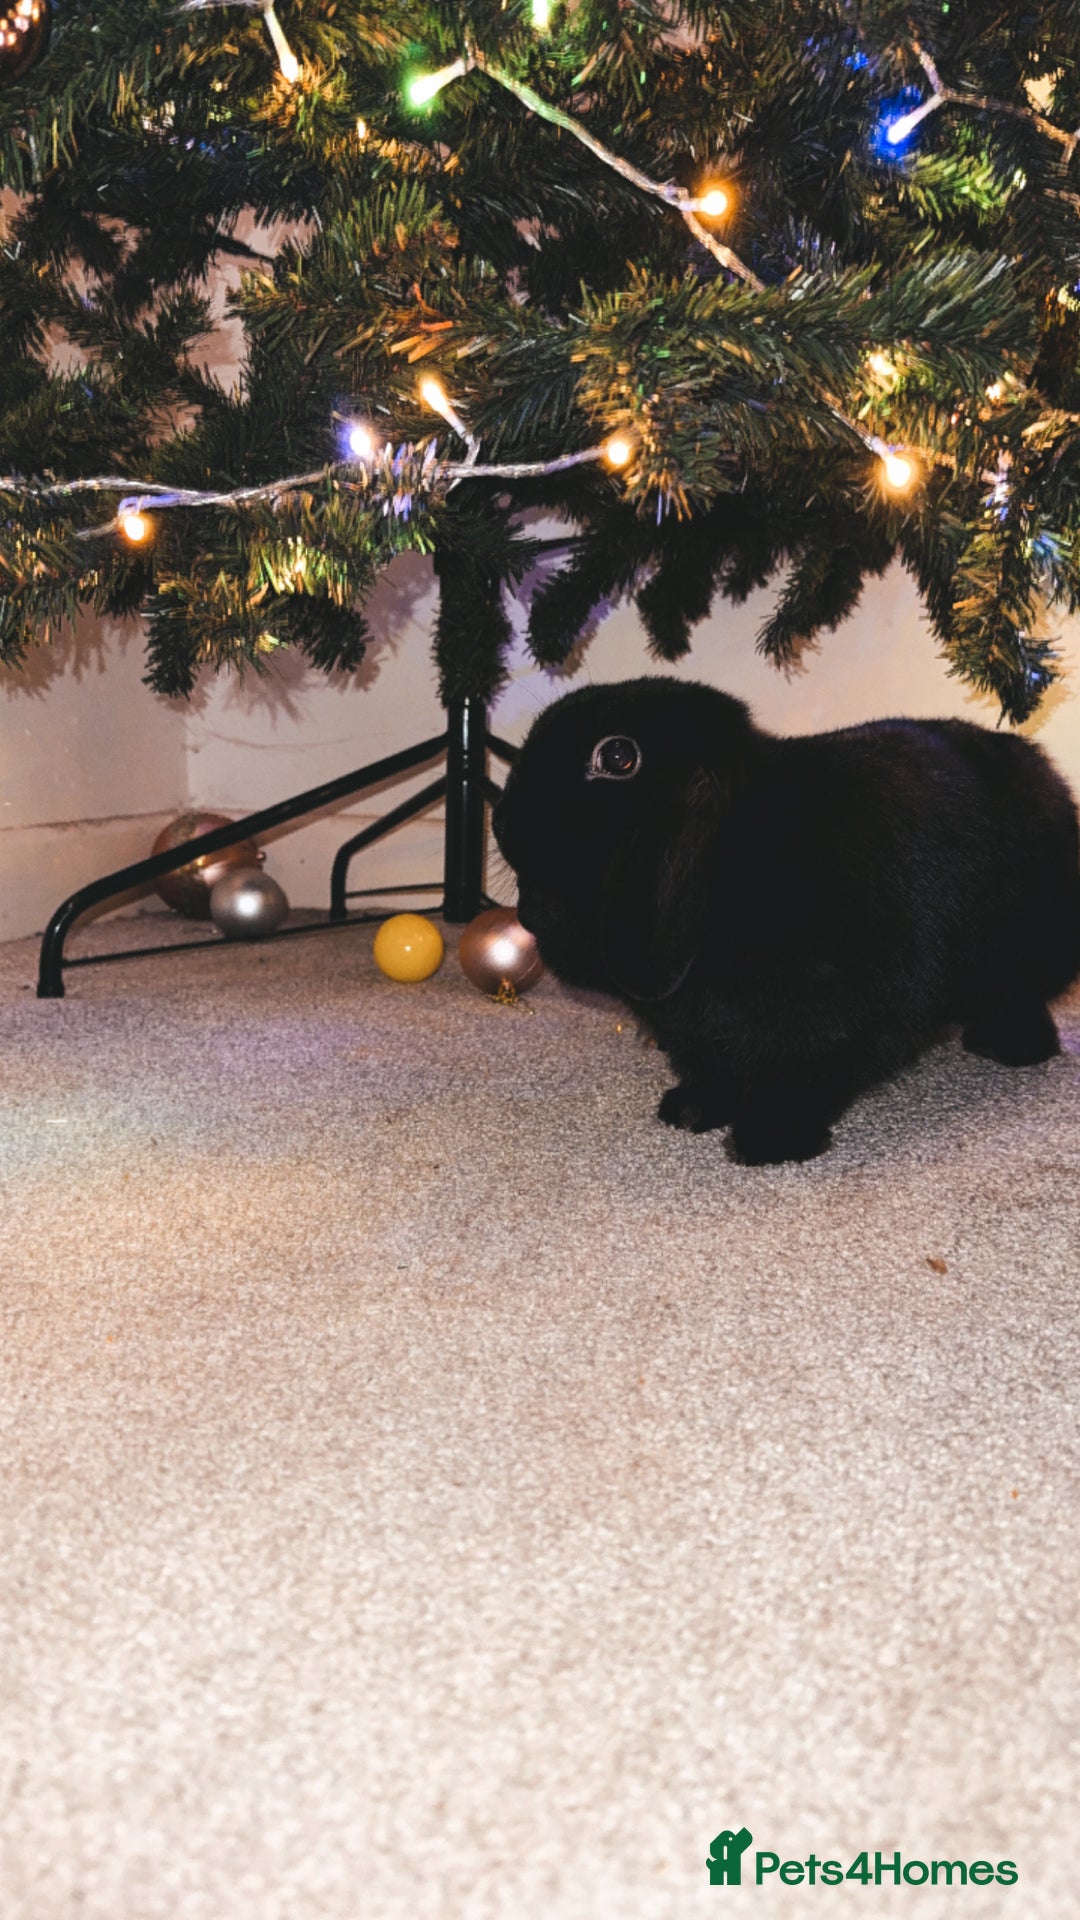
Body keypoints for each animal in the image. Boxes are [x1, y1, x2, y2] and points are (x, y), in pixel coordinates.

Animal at [491, 676, 1080, 1164]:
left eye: (617, 755)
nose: (500, 817)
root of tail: (1045, 773)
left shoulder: (835, 1021)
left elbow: (801, 1078)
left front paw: (768, 1142)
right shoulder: (699, 1035)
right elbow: (713, 1068)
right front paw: (689, 1112)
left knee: (1021, 1000)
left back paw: (1009, 1047)